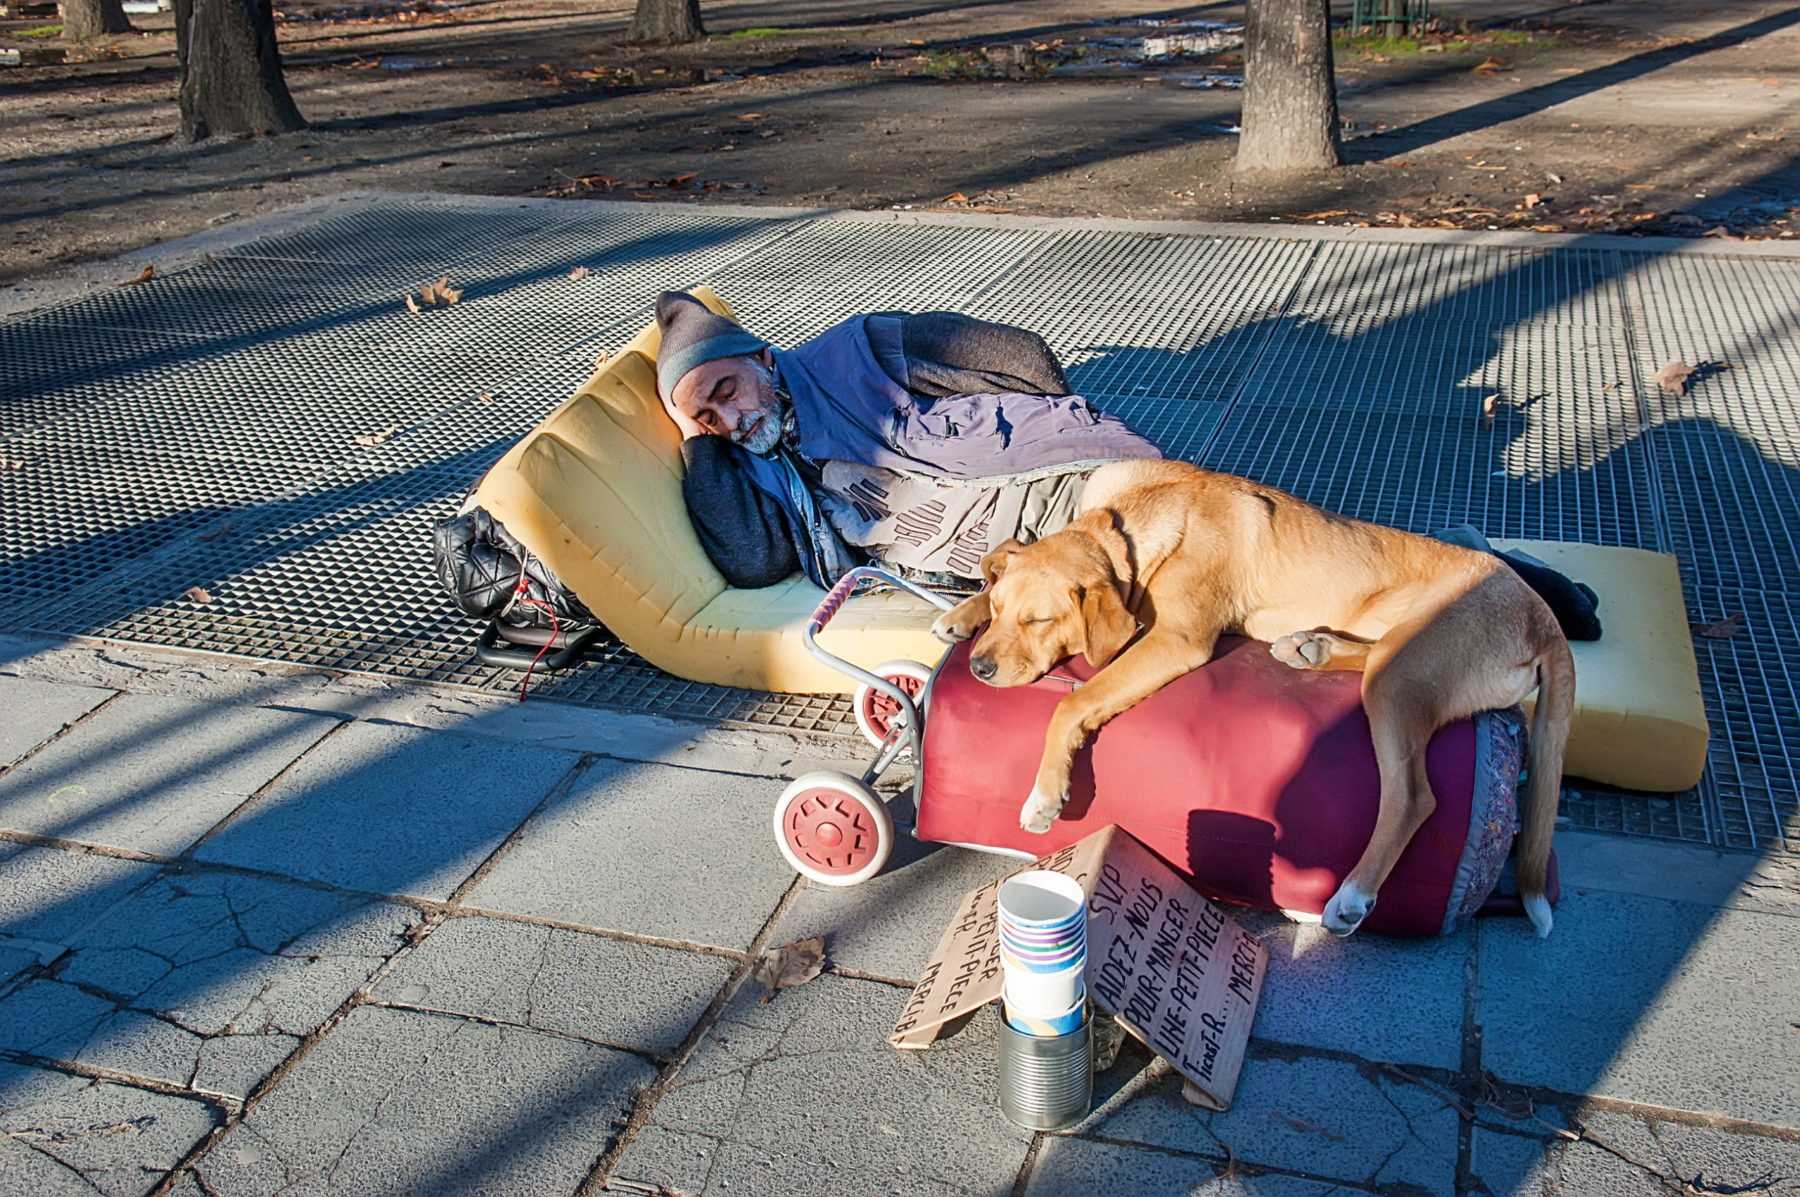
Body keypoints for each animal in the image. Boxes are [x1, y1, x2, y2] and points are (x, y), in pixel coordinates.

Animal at [936, 457, 1569, 936]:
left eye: (1039, 621)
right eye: (1001, 612)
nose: (980, 668)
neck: (1129, 527)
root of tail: (1544, 616)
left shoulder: (1176, 639)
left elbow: (1071, 701)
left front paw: (1045, 794)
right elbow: (1005, 568)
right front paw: (961, 612)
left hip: (1401, 676)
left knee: (1413, 797)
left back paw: (1351, 897)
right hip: (1391, 653)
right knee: (1364, 657)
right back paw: (1311, 647)